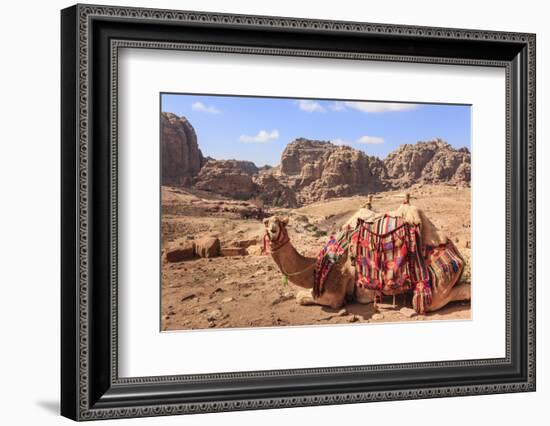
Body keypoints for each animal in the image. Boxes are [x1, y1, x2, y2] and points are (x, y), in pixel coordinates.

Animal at [266, 196, 472, 312]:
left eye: (281, 223)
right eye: (266, 222)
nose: (272, 231)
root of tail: (456, 254)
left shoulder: (334, 293)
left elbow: (302, 298)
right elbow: (299, 295)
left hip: (437, 287)